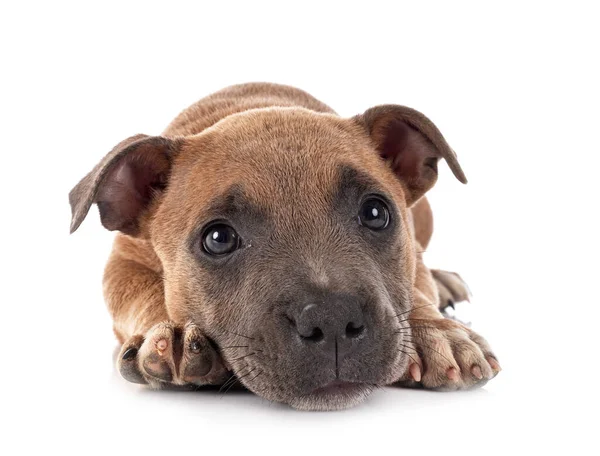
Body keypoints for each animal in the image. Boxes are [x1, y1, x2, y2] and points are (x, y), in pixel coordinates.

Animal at [68, 83, 500, 414]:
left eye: (376, 213)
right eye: (218, 238)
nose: (332, 319)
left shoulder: (410, 237)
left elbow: (415, 286)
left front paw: (436, 334)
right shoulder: (123, 261)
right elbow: (141, 294)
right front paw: (170, 334)